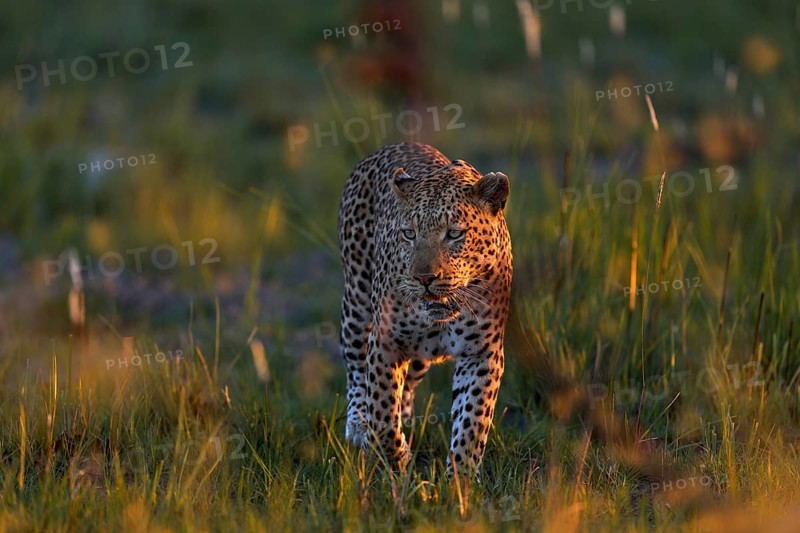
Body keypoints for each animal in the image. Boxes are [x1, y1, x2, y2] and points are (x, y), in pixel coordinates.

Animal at [337, 142, 512, 477]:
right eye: (409, 233)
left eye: (454, 234)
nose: (424, 278)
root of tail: (399, 144)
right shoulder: (385, 343)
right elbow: (382, 407)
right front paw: (394, 460)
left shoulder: (481, 354)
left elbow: (472, 420)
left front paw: (461, 479)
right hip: (356, 302)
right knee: (355, 370)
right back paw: (359, 426)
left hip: (420, 356)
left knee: (406, 386)